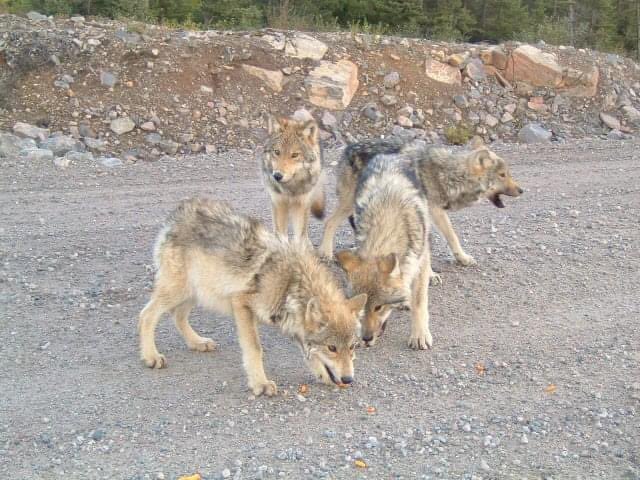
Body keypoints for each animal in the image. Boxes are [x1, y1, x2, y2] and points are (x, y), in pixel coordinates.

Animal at [138, 197, 367, 396]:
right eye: (332, 348)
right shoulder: (241, 305)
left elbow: (309, 355)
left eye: (352, 347)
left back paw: (197, 342)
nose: (348, 379)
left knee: (177, 316)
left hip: (198, 291)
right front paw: (260, 384)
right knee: (146, 315)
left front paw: (322, 375)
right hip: (181, 290)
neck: (290, 283)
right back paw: (151, 356)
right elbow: (255, 349)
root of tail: (178, 213)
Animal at [260, 115, 325, 245]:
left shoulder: (301, 204)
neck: (290, 188)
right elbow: (281, 236)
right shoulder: (278, 202)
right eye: (277, 152)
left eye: (295, 155)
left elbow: (299, 236)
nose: (277, 176)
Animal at [320, 137, 523, 268]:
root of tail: (348, 148)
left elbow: (450, 237)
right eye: (502, 175)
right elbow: (450, 236)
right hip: (350, 204)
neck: (449, 173)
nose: (522, 190)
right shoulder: (433, 212)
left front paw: (462, 259)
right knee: (329, 222)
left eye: (508, 174)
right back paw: (326, 254)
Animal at [335, 155, 434, 350]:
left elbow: (419, 301)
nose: (366, 338)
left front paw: (419, 335)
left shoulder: (420, 258)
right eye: (363, 307)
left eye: (378, 307)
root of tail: (388, 155)